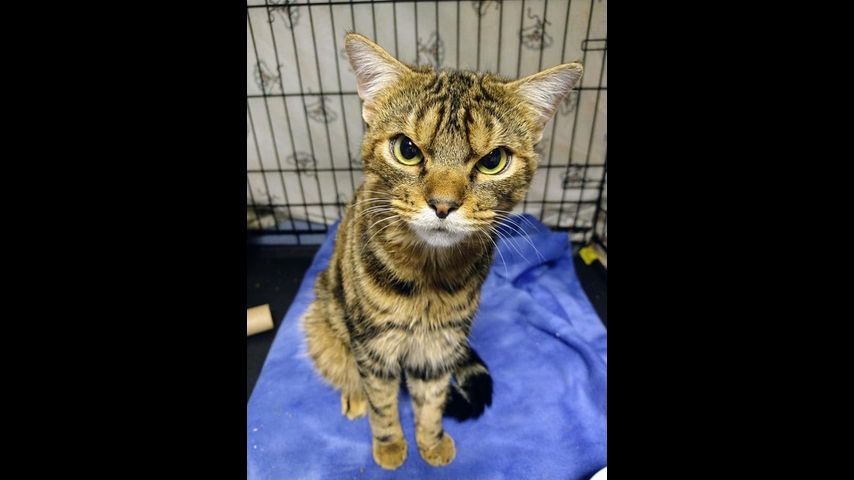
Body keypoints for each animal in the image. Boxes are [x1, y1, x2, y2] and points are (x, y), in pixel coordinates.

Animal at [302, 32, 582, 470]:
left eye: (493, 160)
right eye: (407, 149)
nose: (443, 204)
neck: (428, 279)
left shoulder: (439, 346)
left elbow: (431, 400)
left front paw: (431, 442)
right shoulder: (374, 345)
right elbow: (382, 400)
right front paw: (389, 444)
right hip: (322, 323)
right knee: (346, 367)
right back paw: (354, 395)